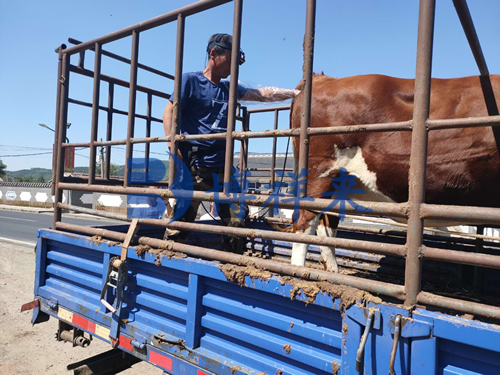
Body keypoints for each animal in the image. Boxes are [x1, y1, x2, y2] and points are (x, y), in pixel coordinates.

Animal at [290, 74, 500, 274]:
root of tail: (321, 77)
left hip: (338, 186)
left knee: (327, 225)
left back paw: (333, 272)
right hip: (321, 173)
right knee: (304, 222)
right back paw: (297, 272)